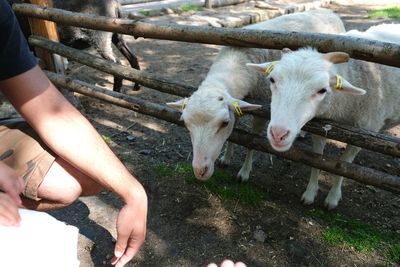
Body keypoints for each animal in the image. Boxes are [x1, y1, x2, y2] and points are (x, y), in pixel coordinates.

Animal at [167, 9, 346, 182]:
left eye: (224, 123)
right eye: (185, 123)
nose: (199, 171)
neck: (237, 60)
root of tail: (328, 11)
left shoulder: (263, 108)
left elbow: (253, 140)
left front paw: (244, 172)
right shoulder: (240, 101)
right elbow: (235, 132)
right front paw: (226, 158)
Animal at [247, 35, 400, 209]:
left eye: (322, 90)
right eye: (272, 79)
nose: (278, 134)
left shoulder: (365, 132)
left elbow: (344, 165)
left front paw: (332, 197)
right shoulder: (322, 127)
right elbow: (318, 158)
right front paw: (310, 193)